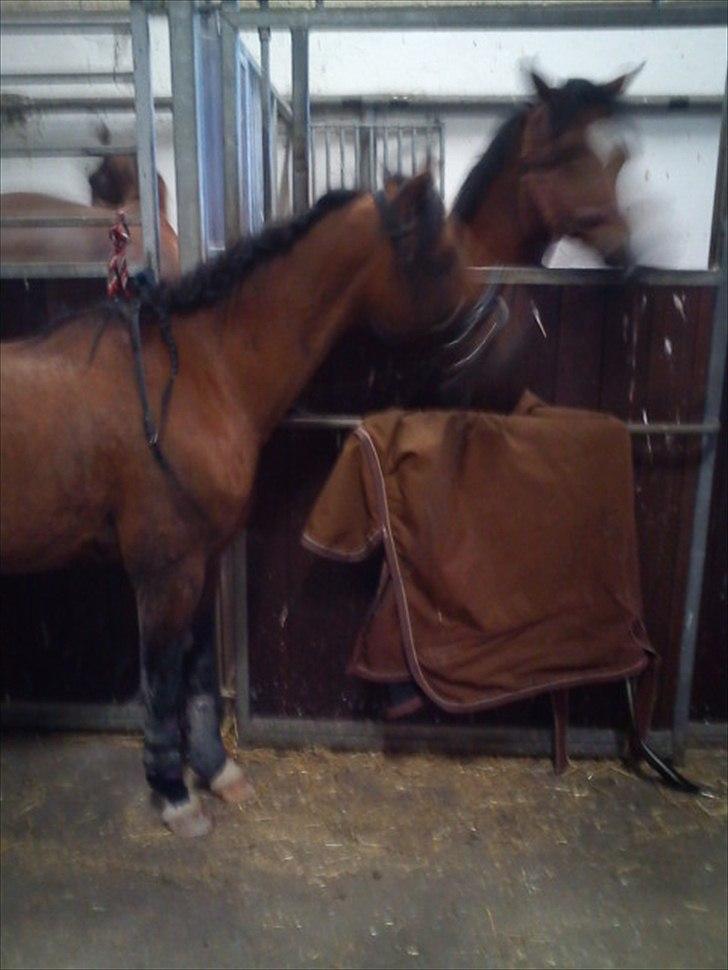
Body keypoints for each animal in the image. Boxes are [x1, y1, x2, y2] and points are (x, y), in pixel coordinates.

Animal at [0, 172, 474, 836]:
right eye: (439, 254)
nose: (494, 319)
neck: (201, 374)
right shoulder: (165, 571)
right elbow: (162, 678)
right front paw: (173, 794)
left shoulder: (203, 561)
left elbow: (197, 669)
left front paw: (216, 771)